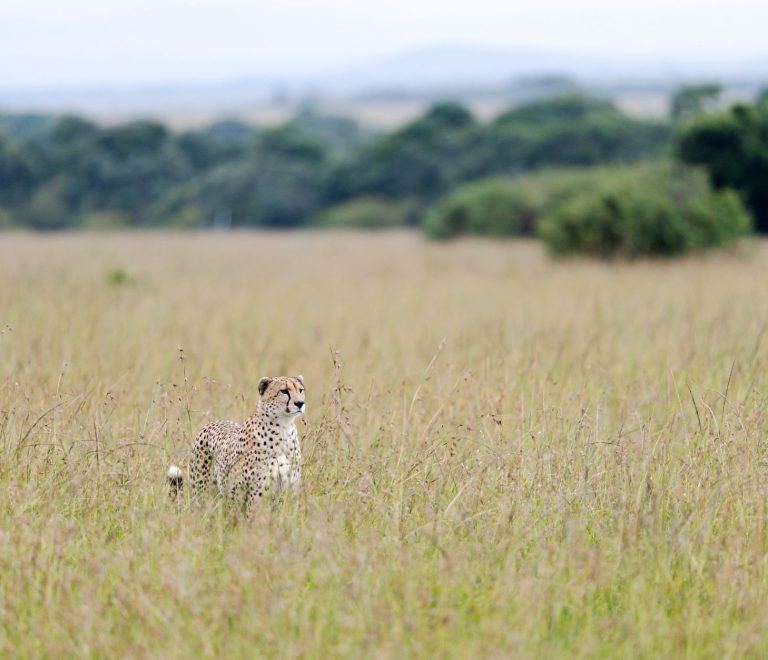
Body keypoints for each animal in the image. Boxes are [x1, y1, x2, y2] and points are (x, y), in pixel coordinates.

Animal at [167, 375, 305, 512]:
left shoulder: (289, 492)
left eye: (300, 390)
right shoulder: (256, 497)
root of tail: (210, 424)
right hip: (202, 493)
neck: (283, 427)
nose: (300, 403)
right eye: (284, 391)